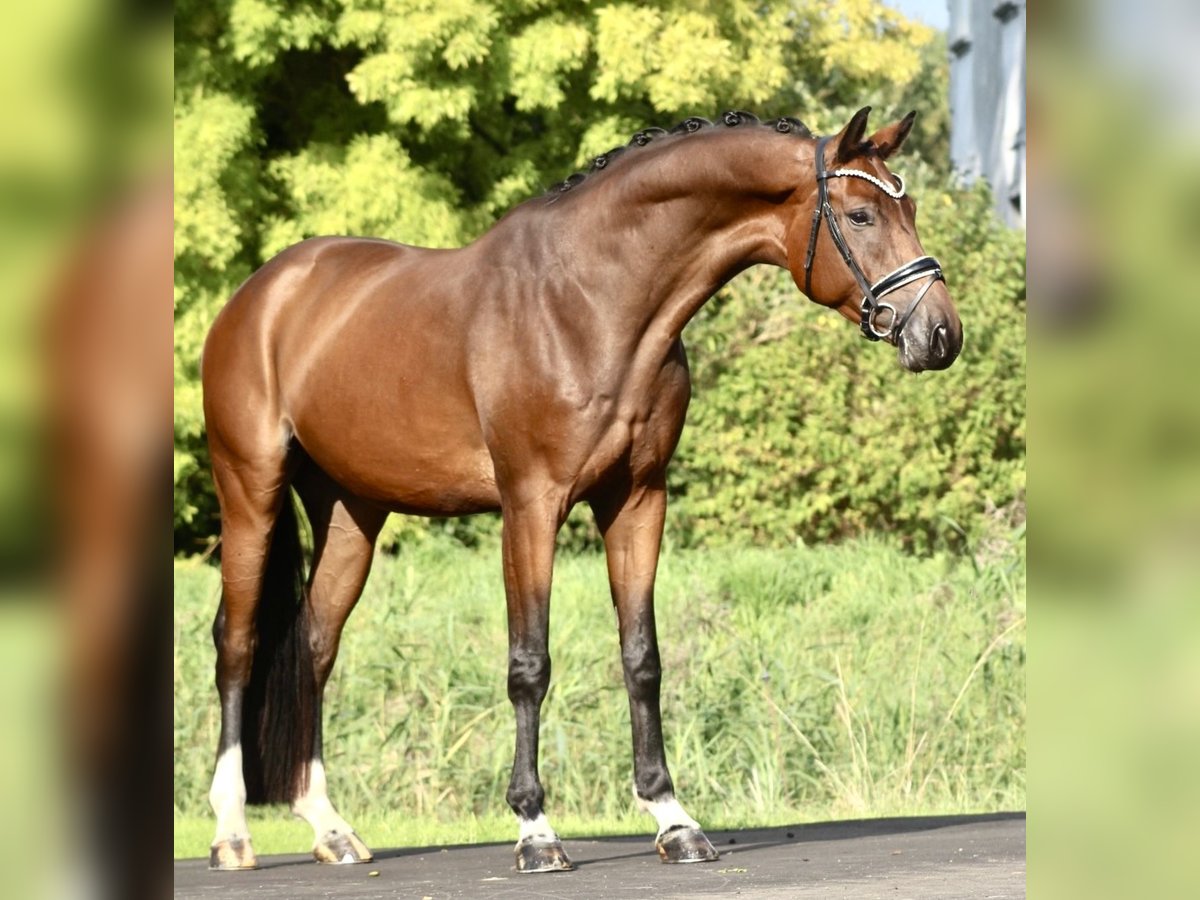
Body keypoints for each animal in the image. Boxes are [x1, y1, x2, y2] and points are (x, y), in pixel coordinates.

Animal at [201, 105, 960, 873]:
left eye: (910, 208)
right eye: (861, 214)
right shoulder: (530, 507)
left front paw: (673, 819)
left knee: (316, 645)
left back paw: (330, 829)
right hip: (250, 490)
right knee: (236, 643)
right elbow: (529, 664)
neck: (589, 303)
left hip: (351, 512)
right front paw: (535, 829)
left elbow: (642, 658)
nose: (941, 334)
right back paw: (232, 832)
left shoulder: (637, 500)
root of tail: (261, 293)